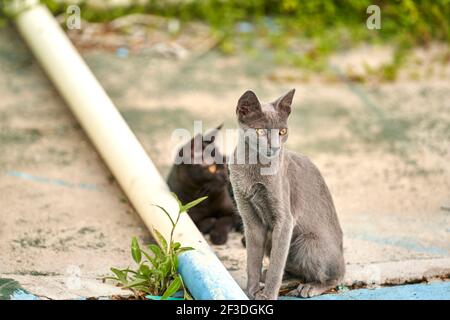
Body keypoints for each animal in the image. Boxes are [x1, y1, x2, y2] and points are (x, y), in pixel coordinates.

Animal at [229, 89, 344, 298]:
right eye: (260, 131)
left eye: (282, 132)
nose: (275, 147)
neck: (253, 167)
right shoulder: (249, 218)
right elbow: (252, 260)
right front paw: (252, 291)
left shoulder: (284, 220)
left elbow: (277, 265)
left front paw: (268, 296)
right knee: (293, 271)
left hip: (307, 243)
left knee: (335, 277)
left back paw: (310, 287)